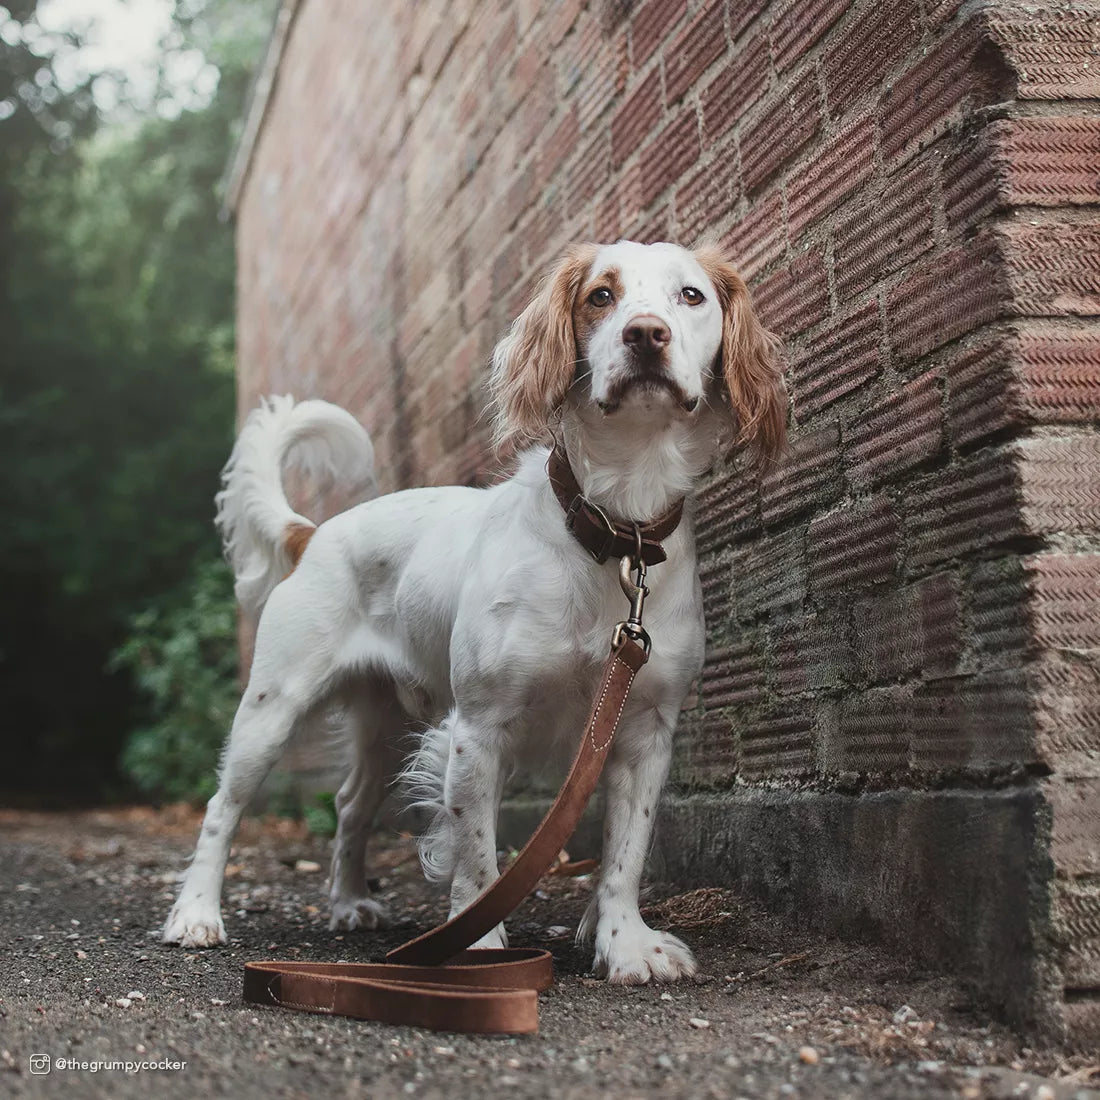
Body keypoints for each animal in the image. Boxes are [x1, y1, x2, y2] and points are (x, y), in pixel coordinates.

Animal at [162, 238, 787, 981]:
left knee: (349, 806)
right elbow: (478, 855)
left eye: (691, 295)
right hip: (272, 709)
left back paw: (346, 902)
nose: (644, 334)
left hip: (382, 727)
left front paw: (624, 942)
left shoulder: (643, 733)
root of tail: (315, 533)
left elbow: (624, 856)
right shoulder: (480, 727)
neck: (614, 531)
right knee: (222, 807)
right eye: (601, 295)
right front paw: (477, 946)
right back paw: (197, 913)